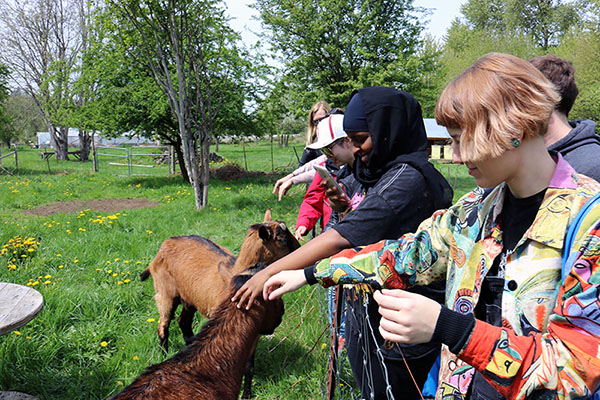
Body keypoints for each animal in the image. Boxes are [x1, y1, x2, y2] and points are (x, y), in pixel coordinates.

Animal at [141, 209, 300, 354]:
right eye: (281, 239)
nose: (299, 249)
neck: (234, 273)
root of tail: (163, 246)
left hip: (190, 297)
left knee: (183, 321)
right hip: (165, 292)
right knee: (163, 324)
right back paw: (164, 352)